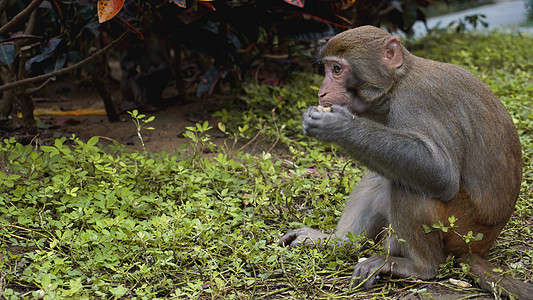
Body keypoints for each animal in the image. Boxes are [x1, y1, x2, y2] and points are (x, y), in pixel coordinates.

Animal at [276, 26, 528, 300]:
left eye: (337, 69)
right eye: (326, 68)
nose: (321, 92)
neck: (399, 81)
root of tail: (479, 249)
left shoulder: (418, 100)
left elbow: (441, 174)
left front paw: (340, 126)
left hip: (460, 228)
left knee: (412, 187)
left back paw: (421, 267)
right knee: (384, 176)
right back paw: (338, 242)